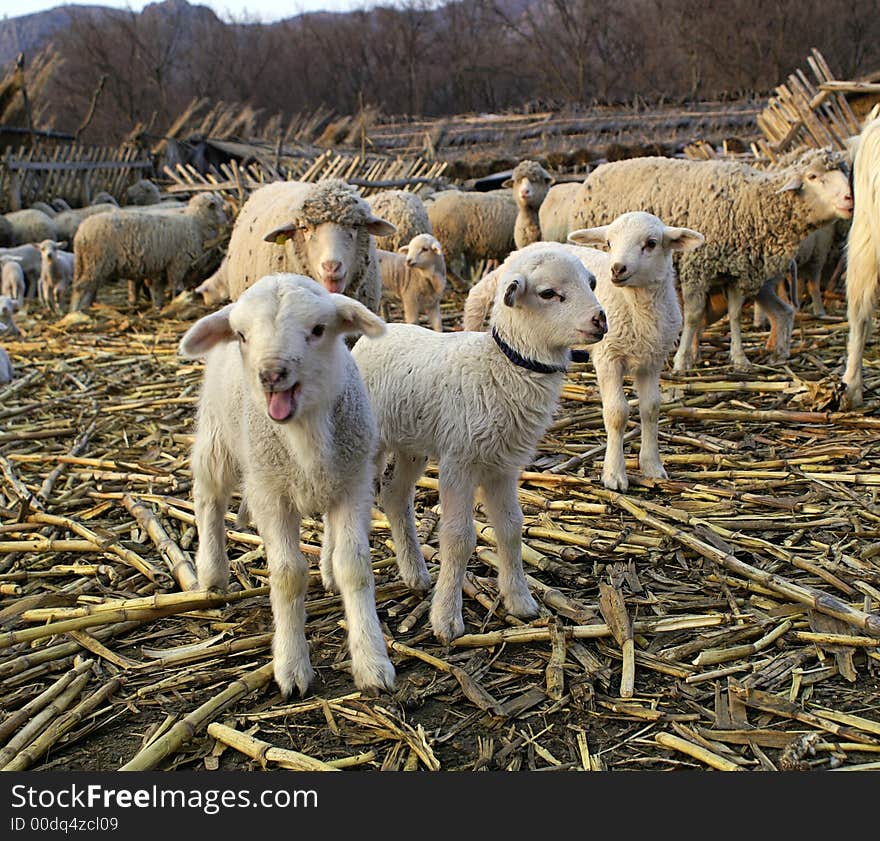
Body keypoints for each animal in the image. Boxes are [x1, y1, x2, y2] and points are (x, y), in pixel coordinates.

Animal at [69, 192, 227, 310]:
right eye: (220, 206)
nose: (226, 221)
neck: (196, 223)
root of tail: (81, 234)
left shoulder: (160, 268)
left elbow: (157, 290)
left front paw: (159, 306)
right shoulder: (178, 263)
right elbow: (176, 286)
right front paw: (177, 301)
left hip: (87, 264)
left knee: (88, 287)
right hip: (96, 261)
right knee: (80, 287)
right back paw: (76, 311)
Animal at [179, 270, 396, 696]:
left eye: (318, 330)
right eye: (241, 335)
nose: (271, 375)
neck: (303, 433)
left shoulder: (354, 485)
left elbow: (355, 567)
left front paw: (372, 662)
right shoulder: (270, 495)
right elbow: (288, 574)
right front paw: (292, 666)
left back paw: (327, 569)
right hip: (216, 435)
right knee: (209, 497)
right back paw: (212, 574)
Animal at [350, 243, 604, 644]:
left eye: (591, 283)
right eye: (548, 293)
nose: (601, 320)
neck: (501, 367)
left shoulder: (503, 466)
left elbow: (512, 528)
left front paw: (520, 601)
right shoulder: (459, 462)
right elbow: (459, 538)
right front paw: (446, 619)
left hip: (412, 445)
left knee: (394, 496)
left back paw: (415, 574)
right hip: (374, 442)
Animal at [564, 148, 852, 370]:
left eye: (845, 173)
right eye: (813, 177)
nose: (850, 199)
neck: (753, 202)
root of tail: (597, 171)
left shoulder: (736, 274)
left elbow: (734, 316)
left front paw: (739, 359)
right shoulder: (697, 268)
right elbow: (693, 317)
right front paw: (682, 361)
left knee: (783, 311)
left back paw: (778, 354)